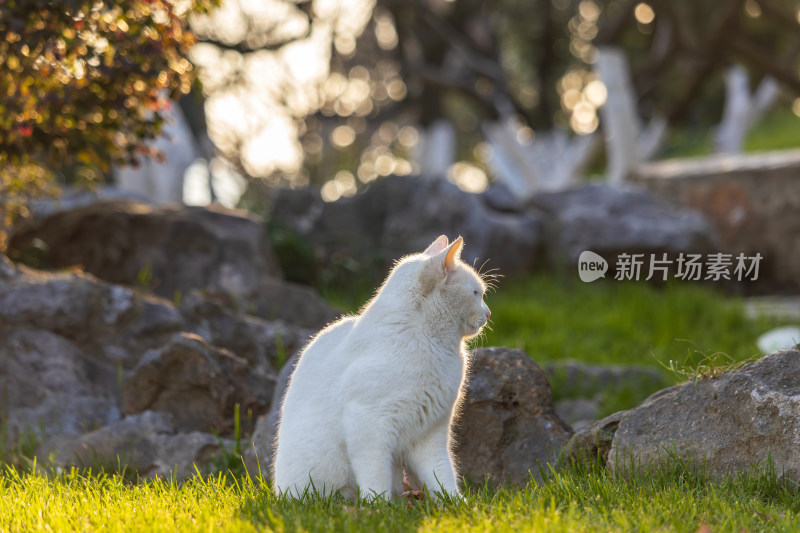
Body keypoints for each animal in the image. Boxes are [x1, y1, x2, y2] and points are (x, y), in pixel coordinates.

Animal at [272, 236, 490, 498]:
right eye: (476, 293)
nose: (488, 314)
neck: (434, 345)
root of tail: (278, 492)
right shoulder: (368, 426)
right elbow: (375, 479)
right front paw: (379, 505)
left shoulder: (430, 434)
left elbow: (442, 476)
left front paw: (457, 503)